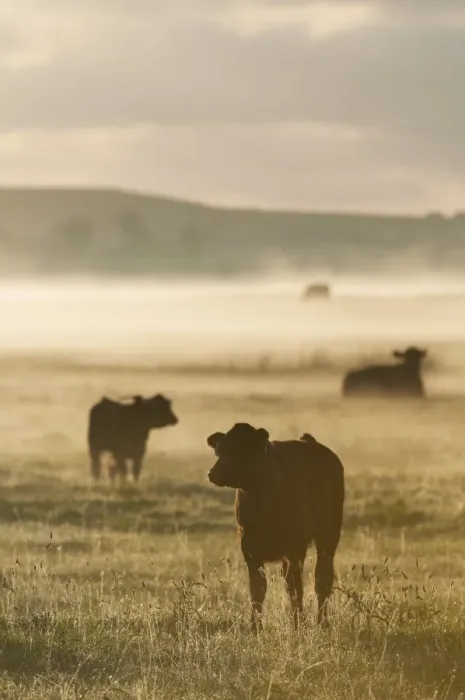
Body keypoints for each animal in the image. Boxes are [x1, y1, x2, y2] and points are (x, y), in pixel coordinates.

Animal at [207, 423, 344, 632]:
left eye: (240, 449)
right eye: (219, 450)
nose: (212, 473)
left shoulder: (296, 546)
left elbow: (296, 588)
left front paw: (298, 624)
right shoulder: (249, 546)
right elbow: (258, 589)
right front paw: (255, 626)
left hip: (328, 537)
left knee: (322, 579)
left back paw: (322, 622)